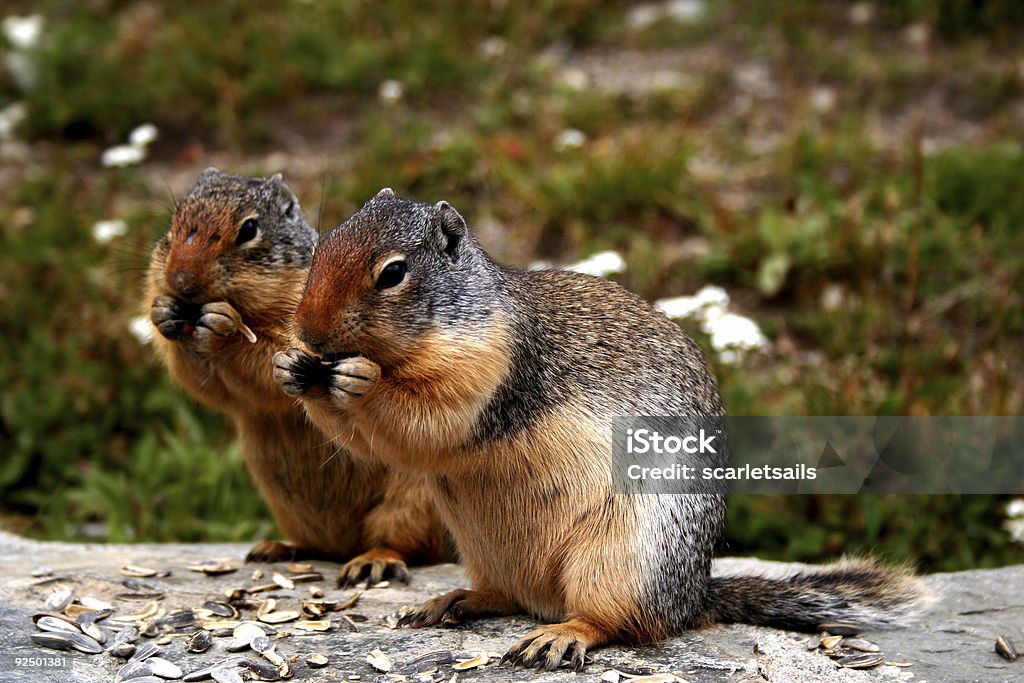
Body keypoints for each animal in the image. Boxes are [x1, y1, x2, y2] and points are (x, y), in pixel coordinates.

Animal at [145, 169, 448, 581]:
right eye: (174, 224)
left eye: (249, 229)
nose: (180, 281)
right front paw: (163, 312)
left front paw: (222, 327)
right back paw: (277, 548)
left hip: (411, 503)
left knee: (405, 544)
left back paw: (374, 561)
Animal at [272, 189, 929, 671]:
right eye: (323, 244)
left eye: (392, 273)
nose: (308, 329)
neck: (460, 319)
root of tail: (694, 597)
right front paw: (289, 366)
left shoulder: (492, 370)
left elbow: (427, 420)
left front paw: (359, 378)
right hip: (486, 547)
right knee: (506, 595)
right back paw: (453, 600)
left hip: (621, 557)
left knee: (621, 623)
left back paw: (560, 636)